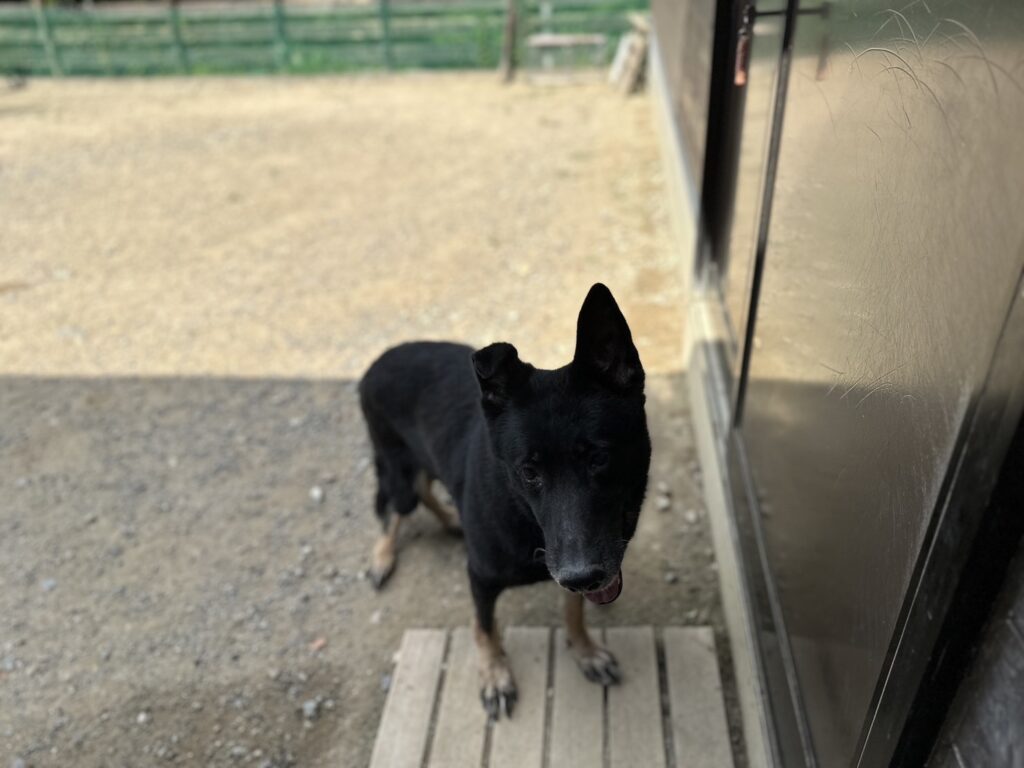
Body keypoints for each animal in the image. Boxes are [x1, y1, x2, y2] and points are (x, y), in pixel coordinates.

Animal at [358, 283, 651, 719]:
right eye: (529, 472)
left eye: (599, 457)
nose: (582, 575)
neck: (525, 518)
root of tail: (377, 361)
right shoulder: (480, 576)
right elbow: (484, 628)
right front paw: (494, 674)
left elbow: (572, 610)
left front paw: (584, 649)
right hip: (397, 470)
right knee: (396, 506)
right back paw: (383, 555)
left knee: (425, 488)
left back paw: (452, 520)